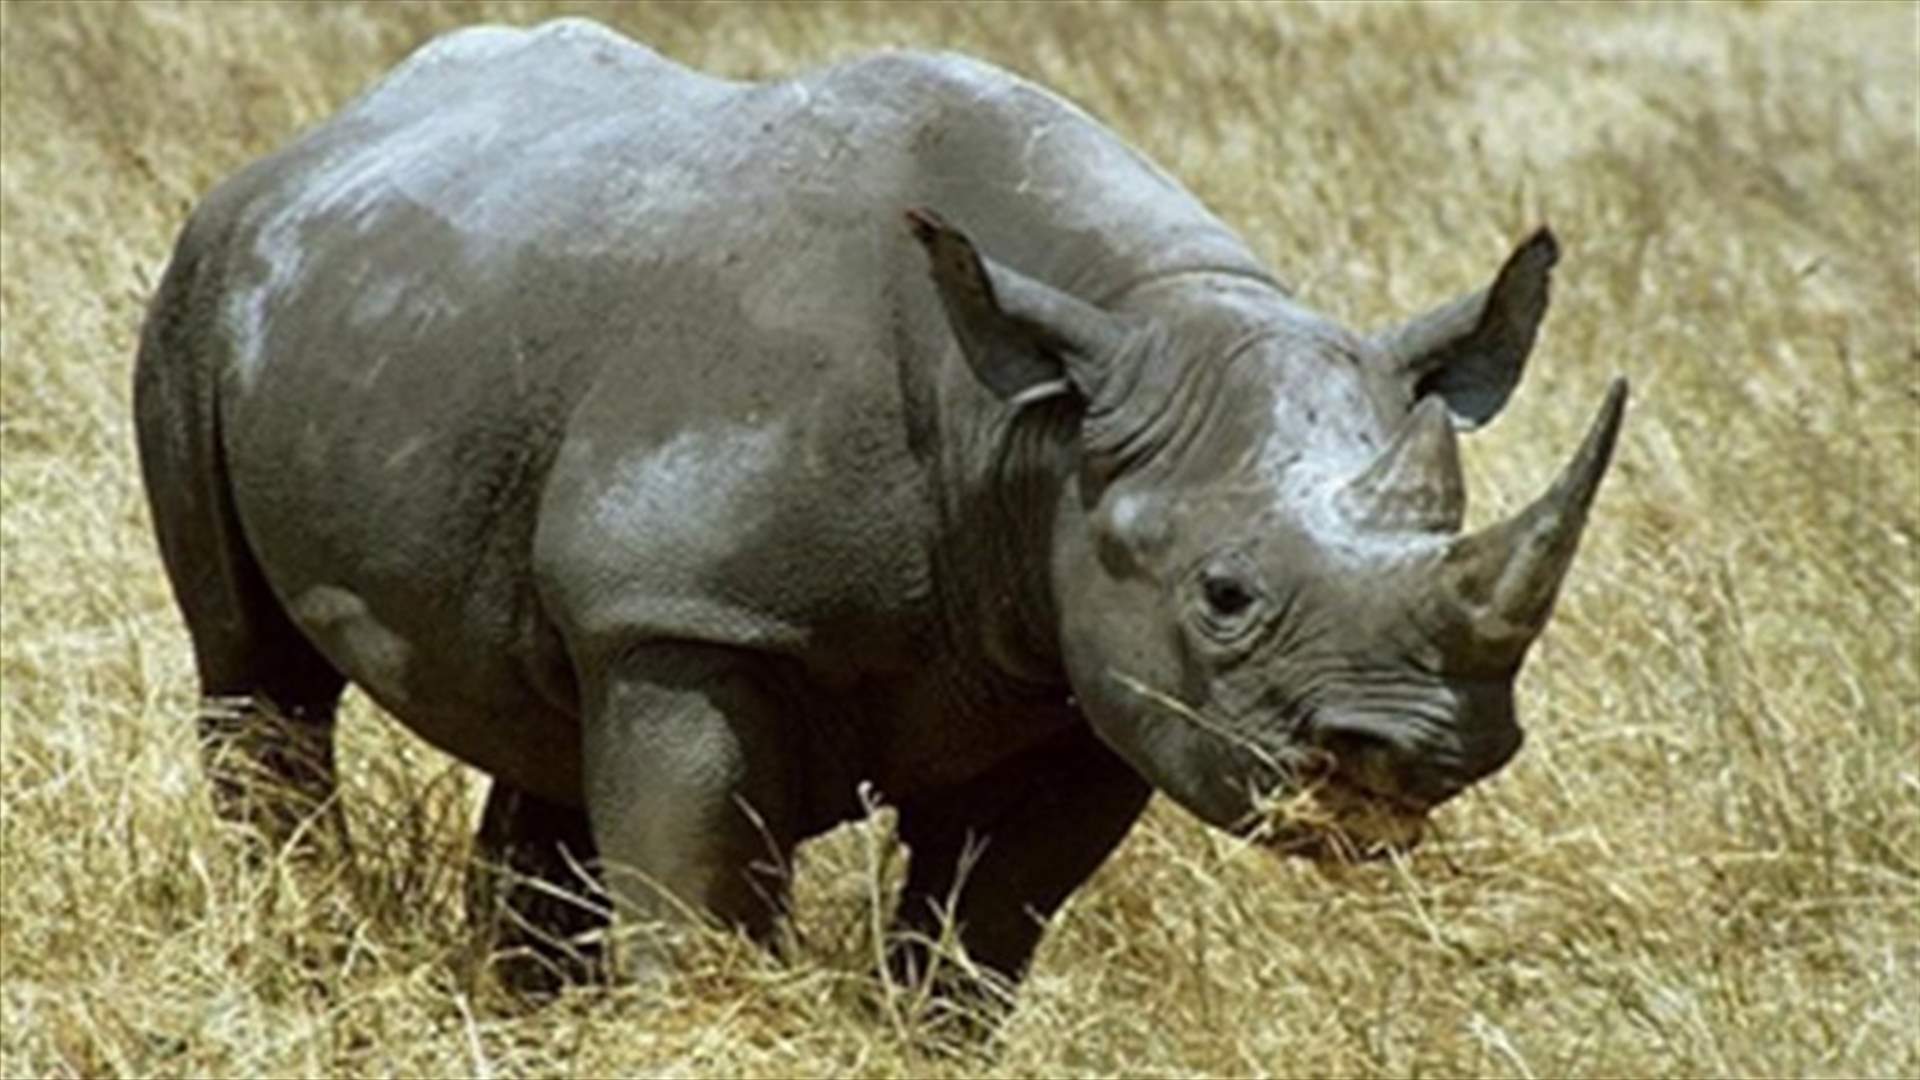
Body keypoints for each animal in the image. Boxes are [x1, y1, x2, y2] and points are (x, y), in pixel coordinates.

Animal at [135, 18, 1626, 1001]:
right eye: (1226, 595)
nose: (1415, 756)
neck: (1051, 417)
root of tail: (320, 138)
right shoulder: (690, 619)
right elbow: (700, 903)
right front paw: (699, 1029)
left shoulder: (1091, 672)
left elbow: (979, 940)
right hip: (202, 285)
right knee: (253, 666)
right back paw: (304, 942)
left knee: (535, 713)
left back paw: (519, 1006)